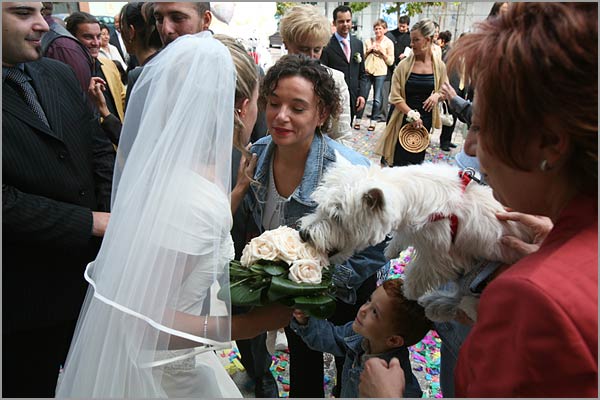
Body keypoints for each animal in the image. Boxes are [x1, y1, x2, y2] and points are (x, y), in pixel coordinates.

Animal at [298, 161, 528, 320]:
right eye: (319, 206)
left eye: (337, 217)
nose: (304, 234)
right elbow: (402, 238)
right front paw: (391, 250)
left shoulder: (439, 252)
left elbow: (420, 271)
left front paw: (409, 290)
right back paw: (436, 304)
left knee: (466, 298)